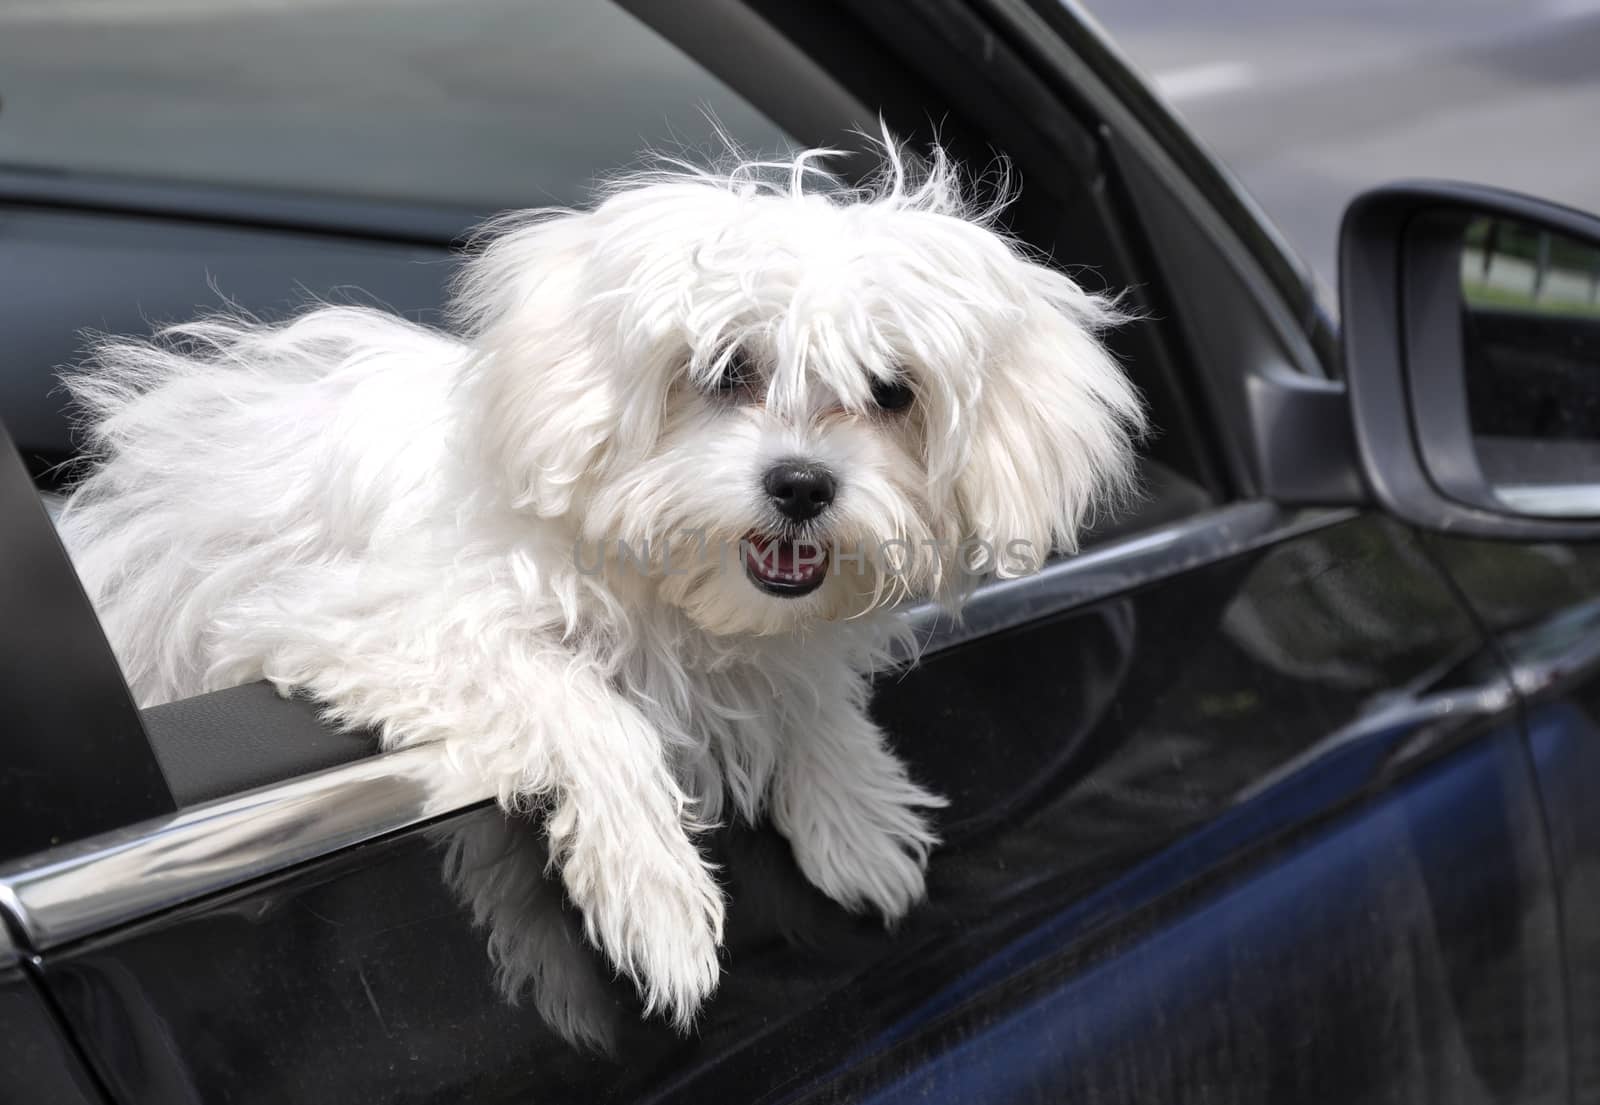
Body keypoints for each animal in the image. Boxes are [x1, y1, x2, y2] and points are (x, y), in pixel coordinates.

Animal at [56, 138, 1145, 1029]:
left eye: (891, 392)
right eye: (727, 369)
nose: (801, 485)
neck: (658, 575)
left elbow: (801, 692)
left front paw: (855, 812)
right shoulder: (379, 622)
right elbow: (588, 707)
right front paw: (658, 899)